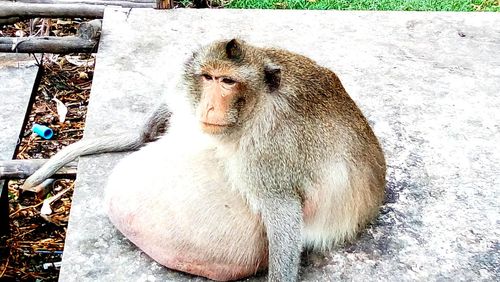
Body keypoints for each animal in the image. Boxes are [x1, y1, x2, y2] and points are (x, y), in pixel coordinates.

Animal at [22, 38, 386, 280]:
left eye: (227, 81)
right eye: (208, 77)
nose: (209, 106)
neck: (252, 110)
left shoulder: (267, 155)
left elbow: (282, 212)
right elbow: (153, 124)